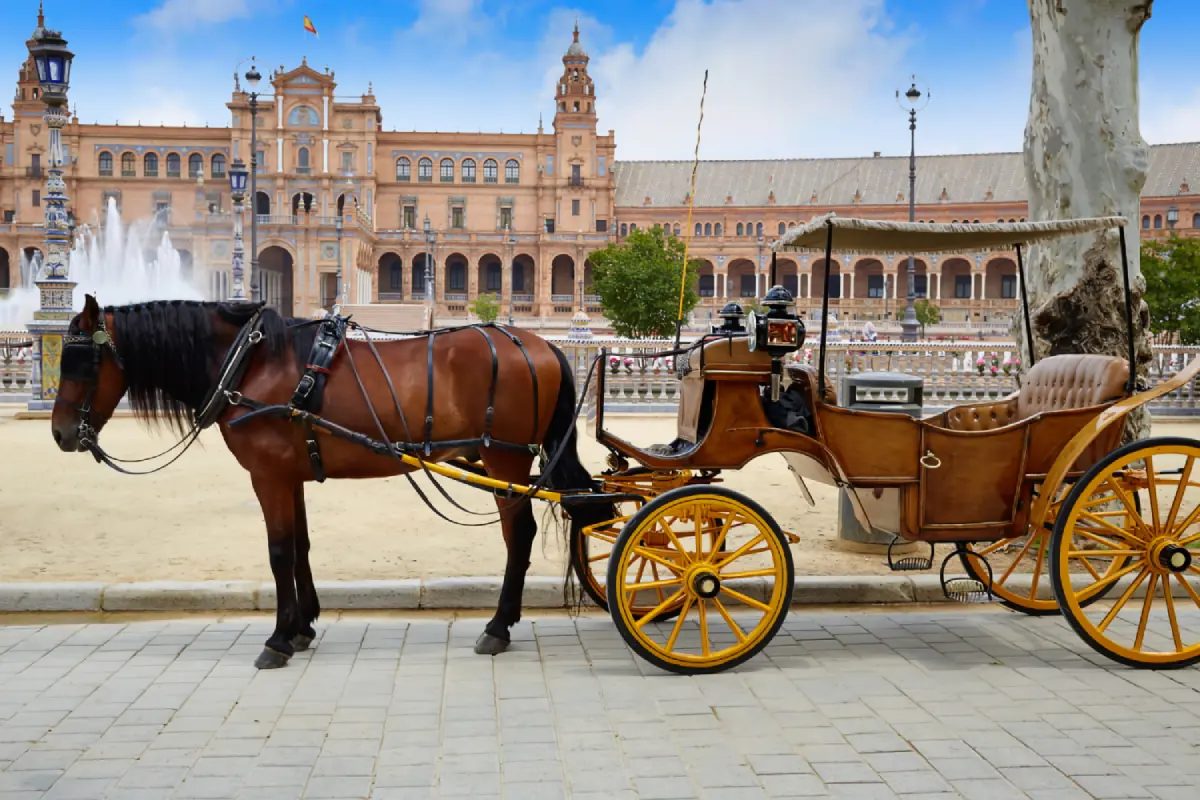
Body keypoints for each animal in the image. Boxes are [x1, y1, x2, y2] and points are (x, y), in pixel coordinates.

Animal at [50, 295, 611, 669]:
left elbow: (278, 552)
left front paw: (278, 639)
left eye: (81, 362)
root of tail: (539, 343)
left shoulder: (268, 476)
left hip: (504, 461)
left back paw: (498, 627)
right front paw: (302, 627)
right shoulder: (290, 474)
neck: (250, 363)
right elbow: (299, 546)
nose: (60, 433)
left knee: (519, 536)